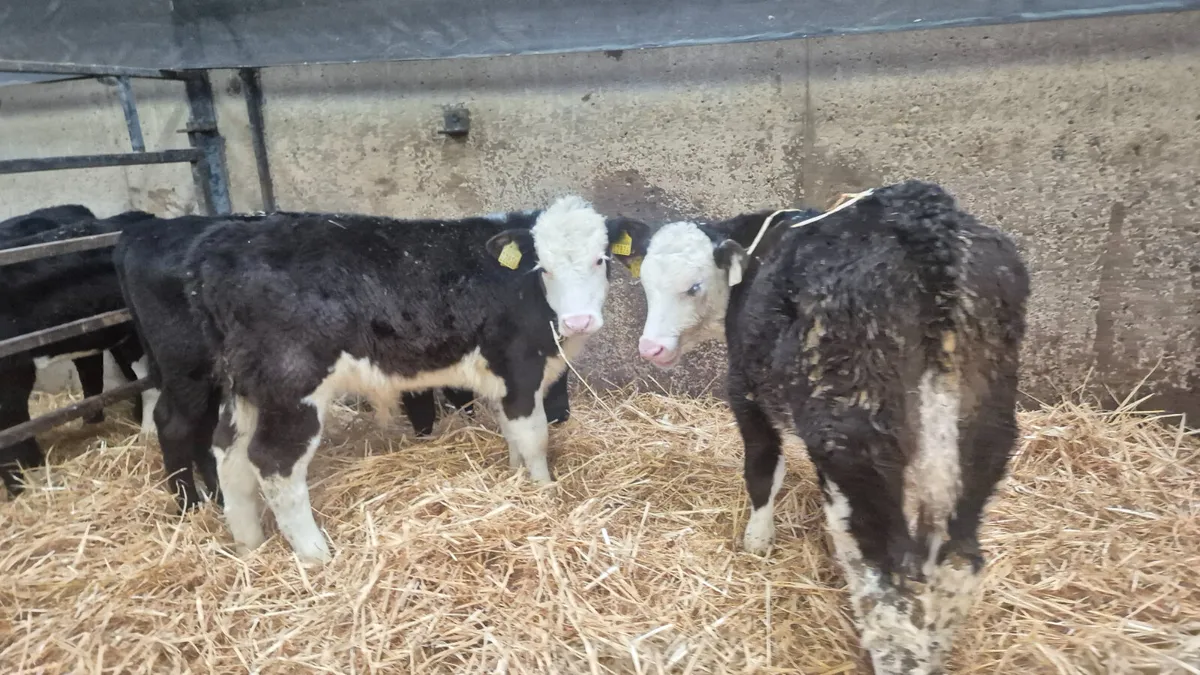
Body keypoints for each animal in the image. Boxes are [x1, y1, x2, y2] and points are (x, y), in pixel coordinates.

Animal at [115, 212, 580, 512]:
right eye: (544, 267)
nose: (563, 415)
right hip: (203, 370)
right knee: (181, 425)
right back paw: (190, 506)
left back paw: (215, 499)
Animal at [181, 197, 642, 563]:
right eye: (543, 268)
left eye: (600, 259)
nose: (579, 320)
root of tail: (223, 241)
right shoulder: (520, 370)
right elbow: (534, 440)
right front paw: (544, 494)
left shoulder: (503, 379)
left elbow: (512, 436)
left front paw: (516, 486)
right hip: (291, 383)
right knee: (273, 462)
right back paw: (317, 557)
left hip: (243, 385)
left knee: (229, 454)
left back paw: (250, 548)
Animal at [627, 181, 1029, 674]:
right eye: (646, 282)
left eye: (694, 286)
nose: (651, 348)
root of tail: (929, 232)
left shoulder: (745, 389)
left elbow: (762, 470)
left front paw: (757, 542)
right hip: (981, 429)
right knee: (956, 561)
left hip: (853, 431)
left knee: (889, 583)